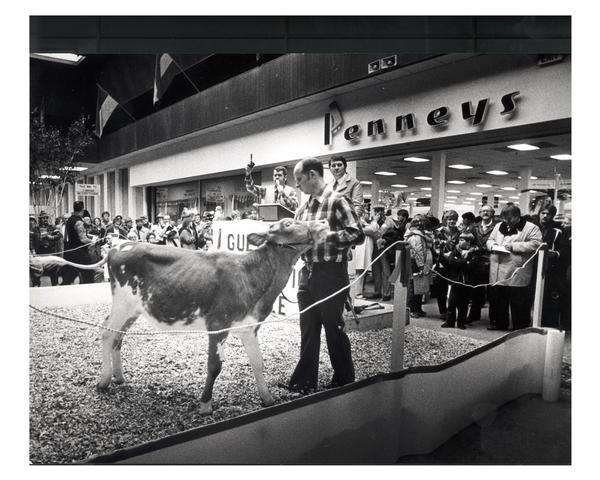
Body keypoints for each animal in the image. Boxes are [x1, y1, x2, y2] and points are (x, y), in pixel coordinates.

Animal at [30, 219, 330, 414]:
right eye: (288, 222)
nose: (323, 222)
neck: (253, 277)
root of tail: (117, 246)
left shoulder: (248, 326)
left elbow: (258, 363)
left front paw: (267, 400)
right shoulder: (218, 324)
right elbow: (214, 366)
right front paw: (205, 405)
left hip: (135, 308)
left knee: (117, 336)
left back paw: (119, 377)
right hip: (123, 302)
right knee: (106, 332)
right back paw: (103, 381)